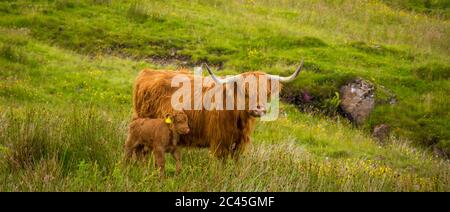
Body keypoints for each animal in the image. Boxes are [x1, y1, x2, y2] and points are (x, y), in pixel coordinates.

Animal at [132, 61, 304, 157]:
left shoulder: (239, 145)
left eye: (266, 92)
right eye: (245, 91)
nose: (259, 109)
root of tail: (147, 72)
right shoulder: (219, 143)